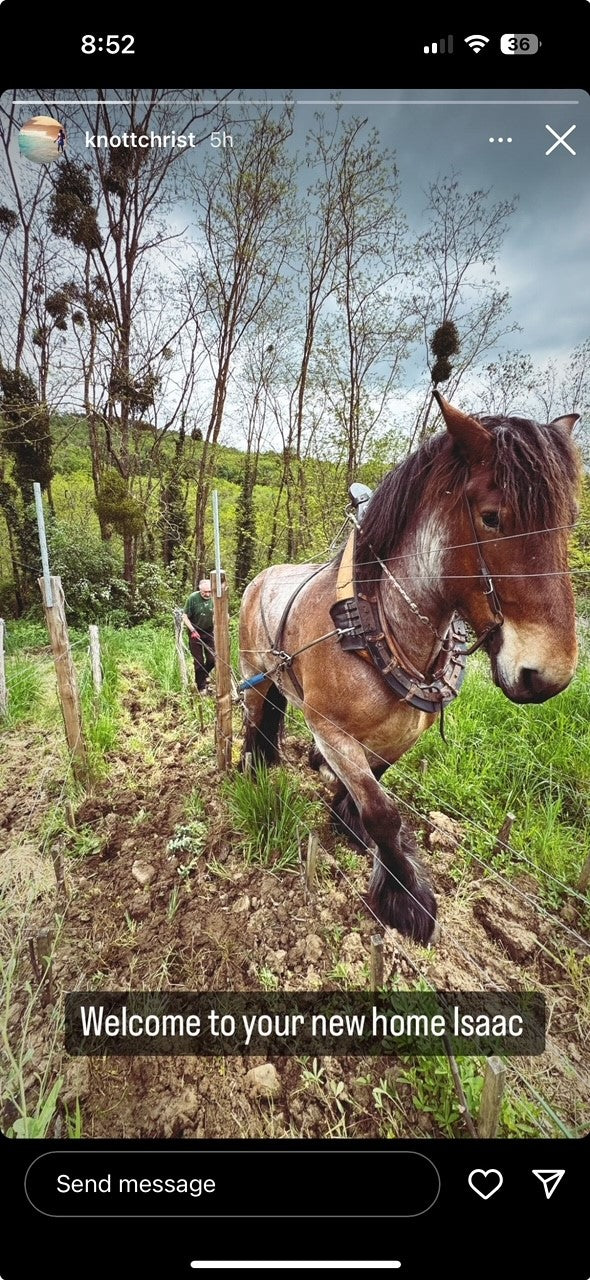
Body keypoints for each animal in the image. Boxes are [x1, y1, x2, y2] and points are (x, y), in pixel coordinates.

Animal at [238, 394, 578, 947]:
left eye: (569, 523)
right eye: (491, 518)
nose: (548, 674)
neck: (374, 627)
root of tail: (258, 578)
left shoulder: (400, 732)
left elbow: (374, 787)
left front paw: (346, 822)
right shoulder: (329, 729)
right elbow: (383, 811)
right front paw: (405, 897)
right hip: (255, 674)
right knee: (252, 717)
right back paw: (250, 765)